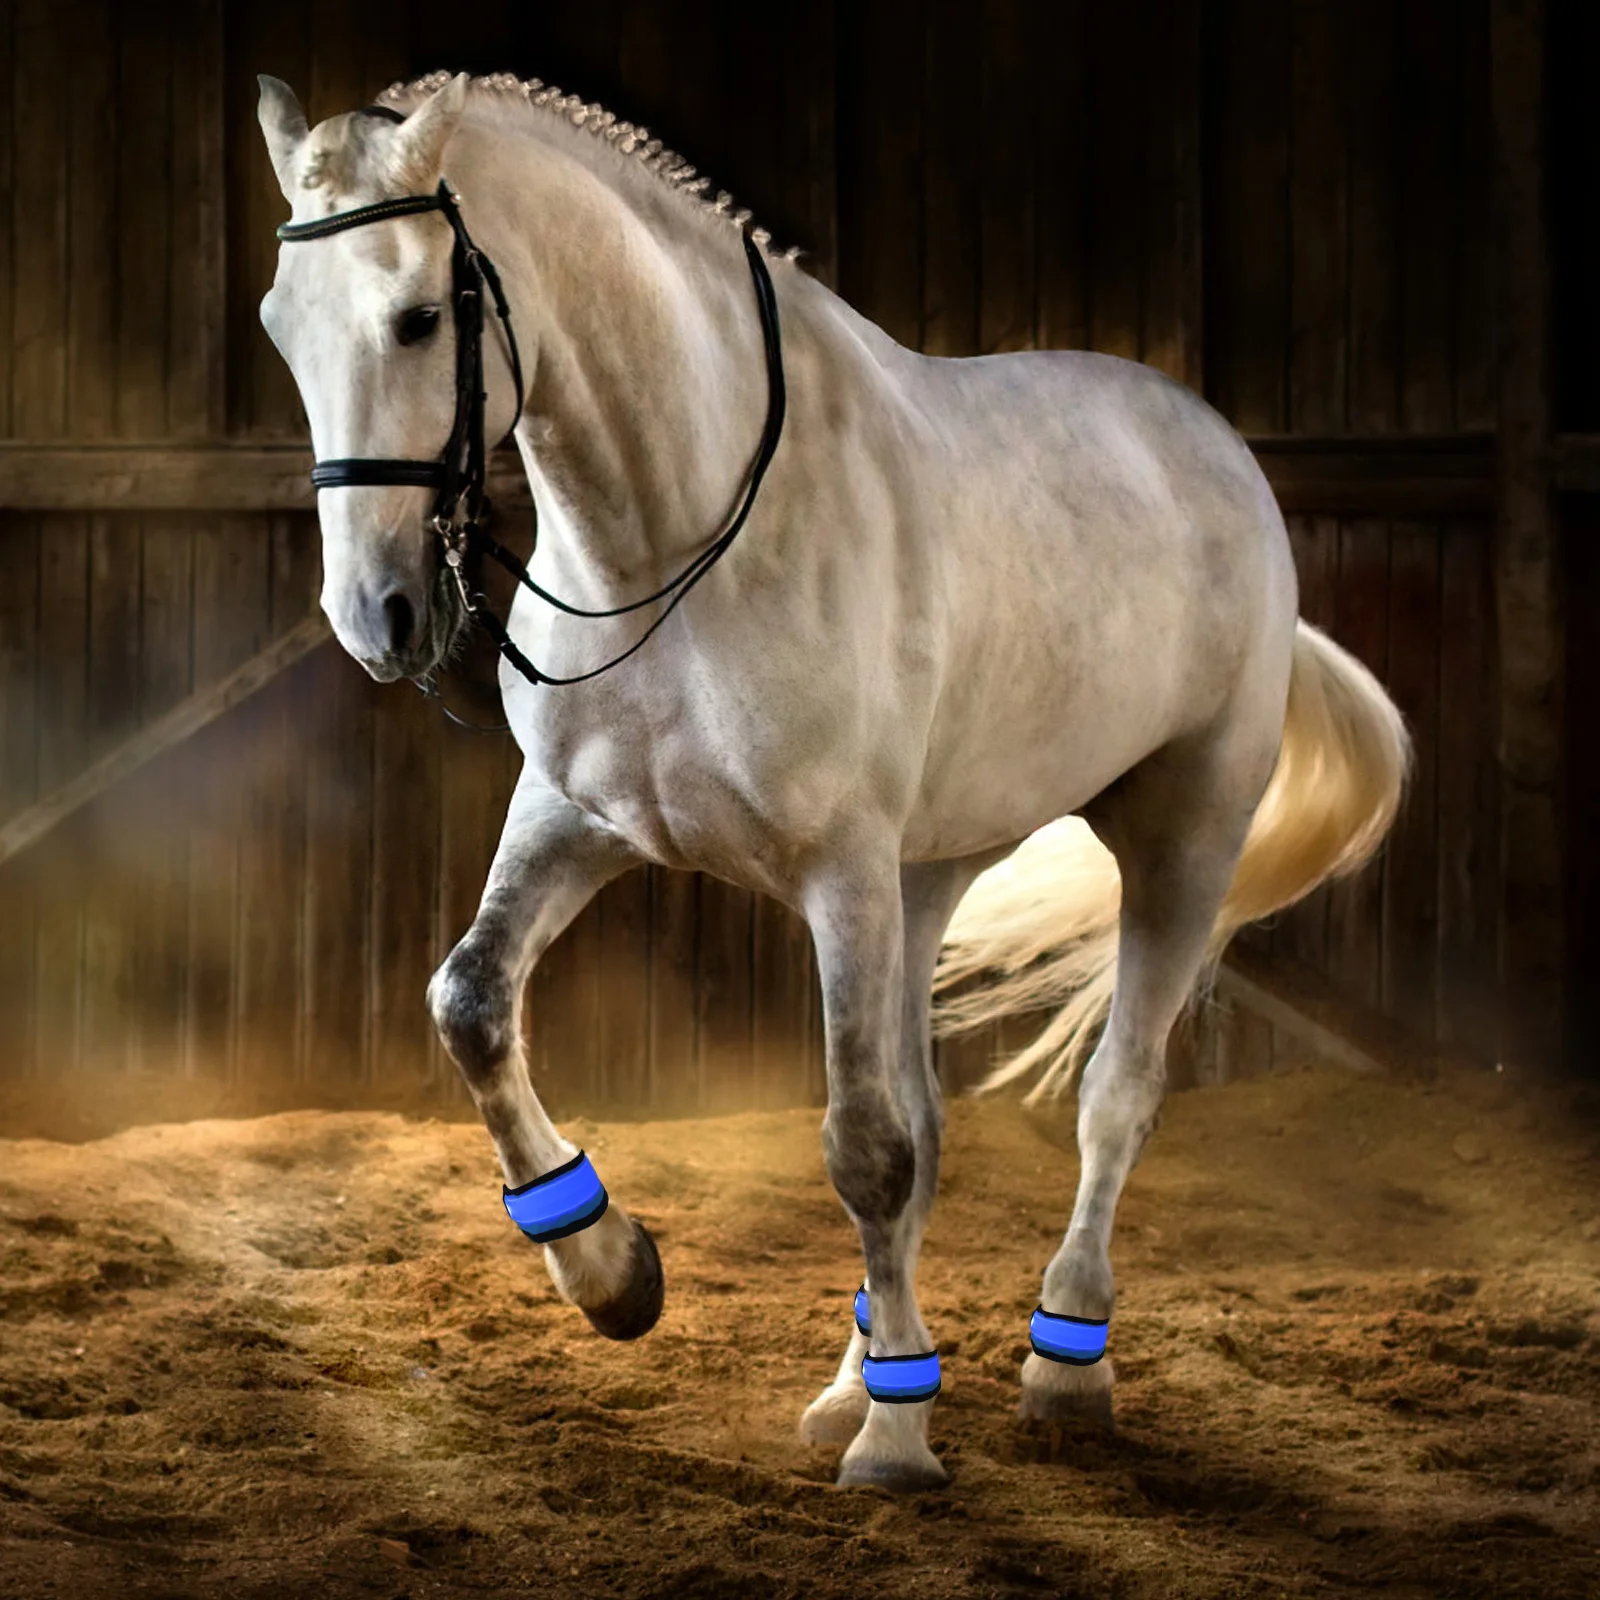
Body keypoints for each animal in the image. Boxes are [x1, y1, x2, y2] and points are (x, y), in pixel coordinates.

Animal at [255, 69, 1408, 1491]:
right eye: (280, 328)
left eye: (419, 318)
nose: (375, 615)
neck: (681, 540)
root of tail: (1220, 450)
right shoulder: (579, 820)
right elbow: (469, 1001)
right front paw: (614, 1276)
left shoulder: (840, 875)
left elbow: (864, 1149)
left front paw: (899, 1445)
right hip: (928, 878)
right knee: (931, 1120)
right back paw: (851, 1378)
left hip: (1176, 836)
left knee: (1113, 1099)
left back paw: (1059, 1362)